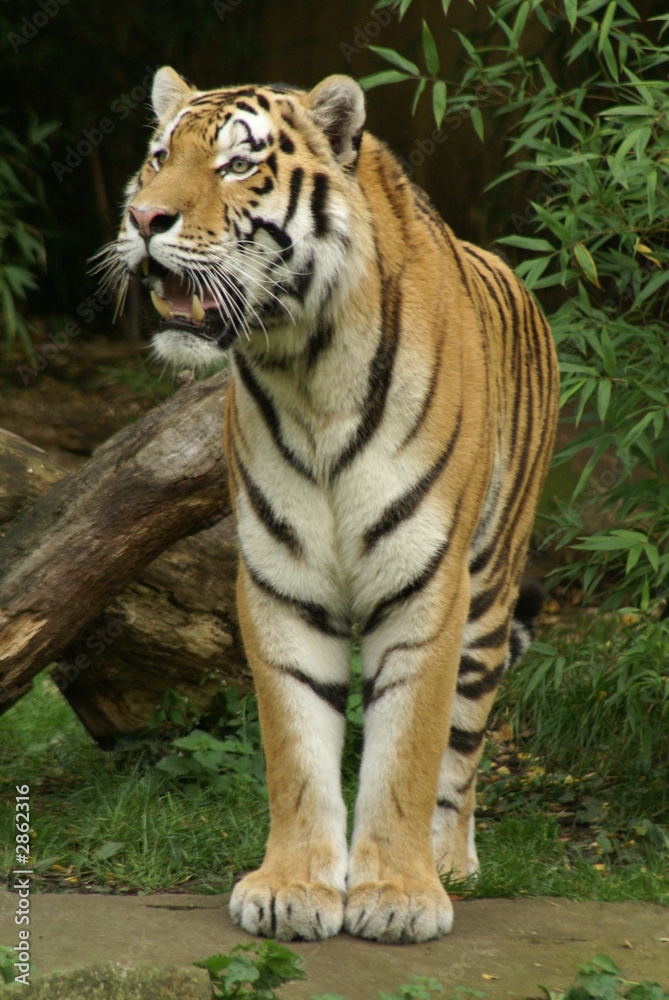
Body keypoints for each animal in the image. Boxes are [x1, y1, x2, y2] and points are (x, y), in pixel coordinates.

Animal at [99, 66, 559, 944]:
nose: (143, 219)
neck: (303, 367)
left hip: (488, 594)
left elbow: (407, 749)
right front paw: (292, 888)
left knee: (463, 743)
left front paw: (399, 894)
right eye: (159, 157)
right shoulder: (281, 581)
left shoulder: (425, 582)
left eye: (237, 166)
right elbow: (297, 747)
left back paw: (450, 862)